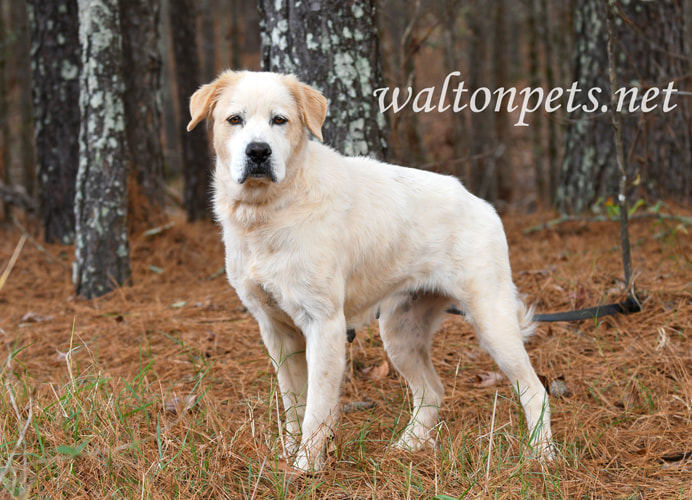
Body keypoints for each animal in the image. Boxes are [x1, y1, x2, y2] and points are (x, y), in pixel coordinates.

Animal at [187, 71, 556, 472]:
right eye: (234, 119)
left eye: (279, 120)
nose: (258, 152)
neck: (270, 213)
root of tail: (481, 204)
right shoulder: (275, 330)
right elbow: (293, 405)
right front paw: (287, 454)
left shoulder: (324, 324)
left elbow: (316, 408)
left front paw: (305, 468)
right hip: (400, 333)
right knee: (431, 390)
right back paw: (408, 446)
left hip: (493, 323)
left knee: (535, 390)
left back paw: (542, 455)